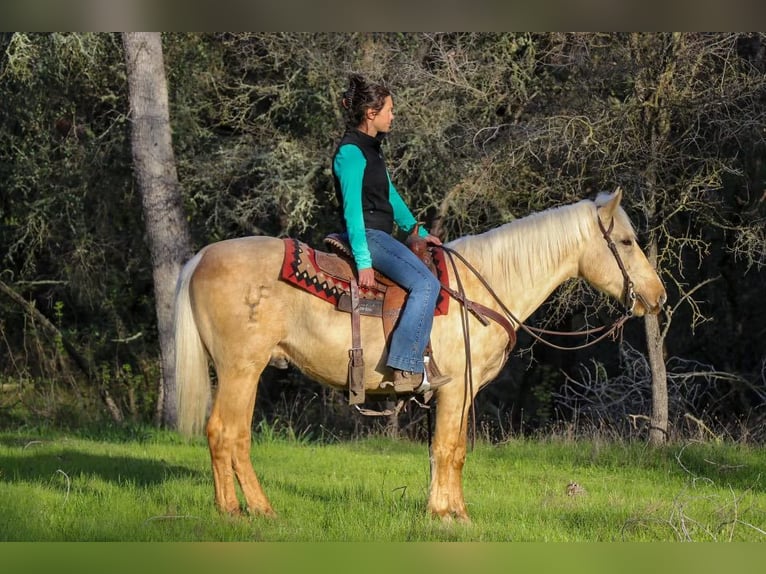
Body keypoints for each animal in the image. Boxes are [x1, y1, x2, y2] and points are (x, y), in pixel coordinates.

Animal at [172, 189, 664, 520]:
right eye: (625, 242)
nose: (657, 296)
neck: (483, 289)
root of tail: (201, 257)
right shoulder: (457, 388)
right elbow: (449, 448)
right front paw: (447, 515)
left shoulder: (458, 393)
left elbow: (448, 450)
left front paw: (451, 511)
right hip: (241, 369)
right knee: (227, 433)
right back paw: (249, 511)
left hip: (241, 372)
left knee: (227, 435)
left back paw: (237, 507)